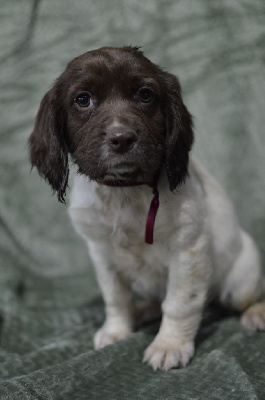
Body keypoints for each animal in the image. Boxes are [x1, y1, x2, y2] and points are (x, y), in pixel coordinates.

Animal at [28, 47, 264, 372]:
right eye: (83, 99)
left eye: (145, 94)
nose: (122, 138)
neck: (124, 192)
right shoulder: (101, 252)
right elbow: (116, 297)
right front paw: (117, 330)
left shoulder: (188, 248)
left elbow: (179, 302)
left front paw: (169, 345)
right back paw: (144, 311)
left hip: (240, 280)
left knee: (248, 295)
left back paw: (257, 312)